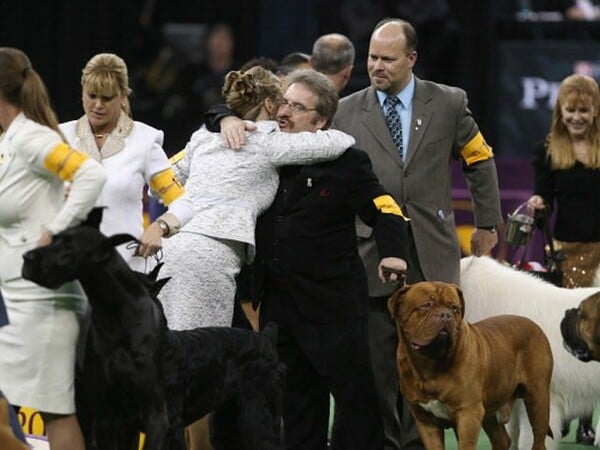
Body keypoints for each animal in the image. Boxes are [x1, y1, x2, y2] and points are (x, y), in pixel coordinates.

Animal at [21, 227, 284, 448]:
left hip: (259, 413)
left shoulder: (166, 424)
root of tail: (267, 338)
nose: (29, 259)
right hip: (226, 421)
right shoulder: (116, 420)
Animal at [390, 282, 552, 450]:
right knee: (501, 439)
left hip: (537, 396)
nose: (445, 314)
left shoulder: (469, 413)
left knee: (539, 436)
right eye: (426, 305)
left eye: (454, 308)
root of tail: (535, 326)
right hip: (490, 409)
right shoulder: (426, 422)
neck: (430, 362)